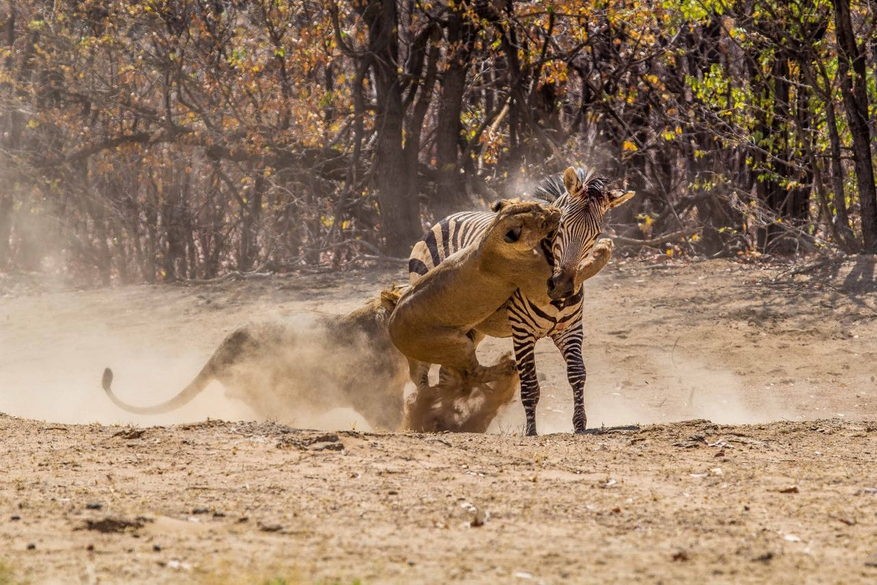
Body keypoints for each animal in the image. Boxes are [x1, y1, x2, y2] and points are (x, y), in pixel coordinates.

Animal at [408, 164, 632, 434]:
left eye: (596, 234)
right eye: (562, 226)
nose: (562, 287)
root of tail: (450, 216)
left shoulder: (570, 330)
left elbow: (577, 374)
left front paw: (579, 425)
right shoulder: (523, 331)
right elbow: (530, 386)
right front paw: (531, 431)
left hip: (471, 327)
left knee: (448, 372)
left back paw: (449, 418)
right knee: (422, 369)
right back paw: (428, 414)